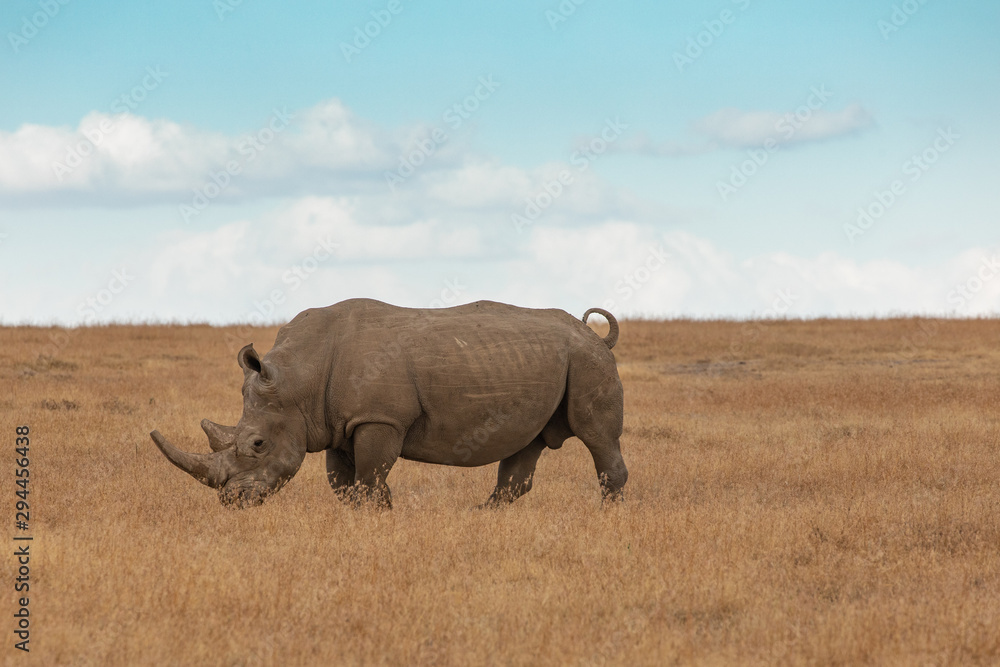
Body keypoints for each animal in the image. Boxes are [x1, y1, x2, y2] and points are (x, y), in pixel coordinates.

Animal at [150, 298, 627, 508]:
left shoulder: (378, 420)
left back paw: (608, 515)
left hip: (588, 362)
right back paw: (486, 514)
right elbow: (345, 483)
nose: (232, 501)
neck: (299, 378)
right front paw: (364, 516)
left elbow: (369, 476)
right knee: (527, 444)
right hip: (550, 361)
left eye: (258, 445)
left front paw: (377, 517)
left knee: (596, 436)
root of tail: (593, 334)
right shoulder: (337, 422)